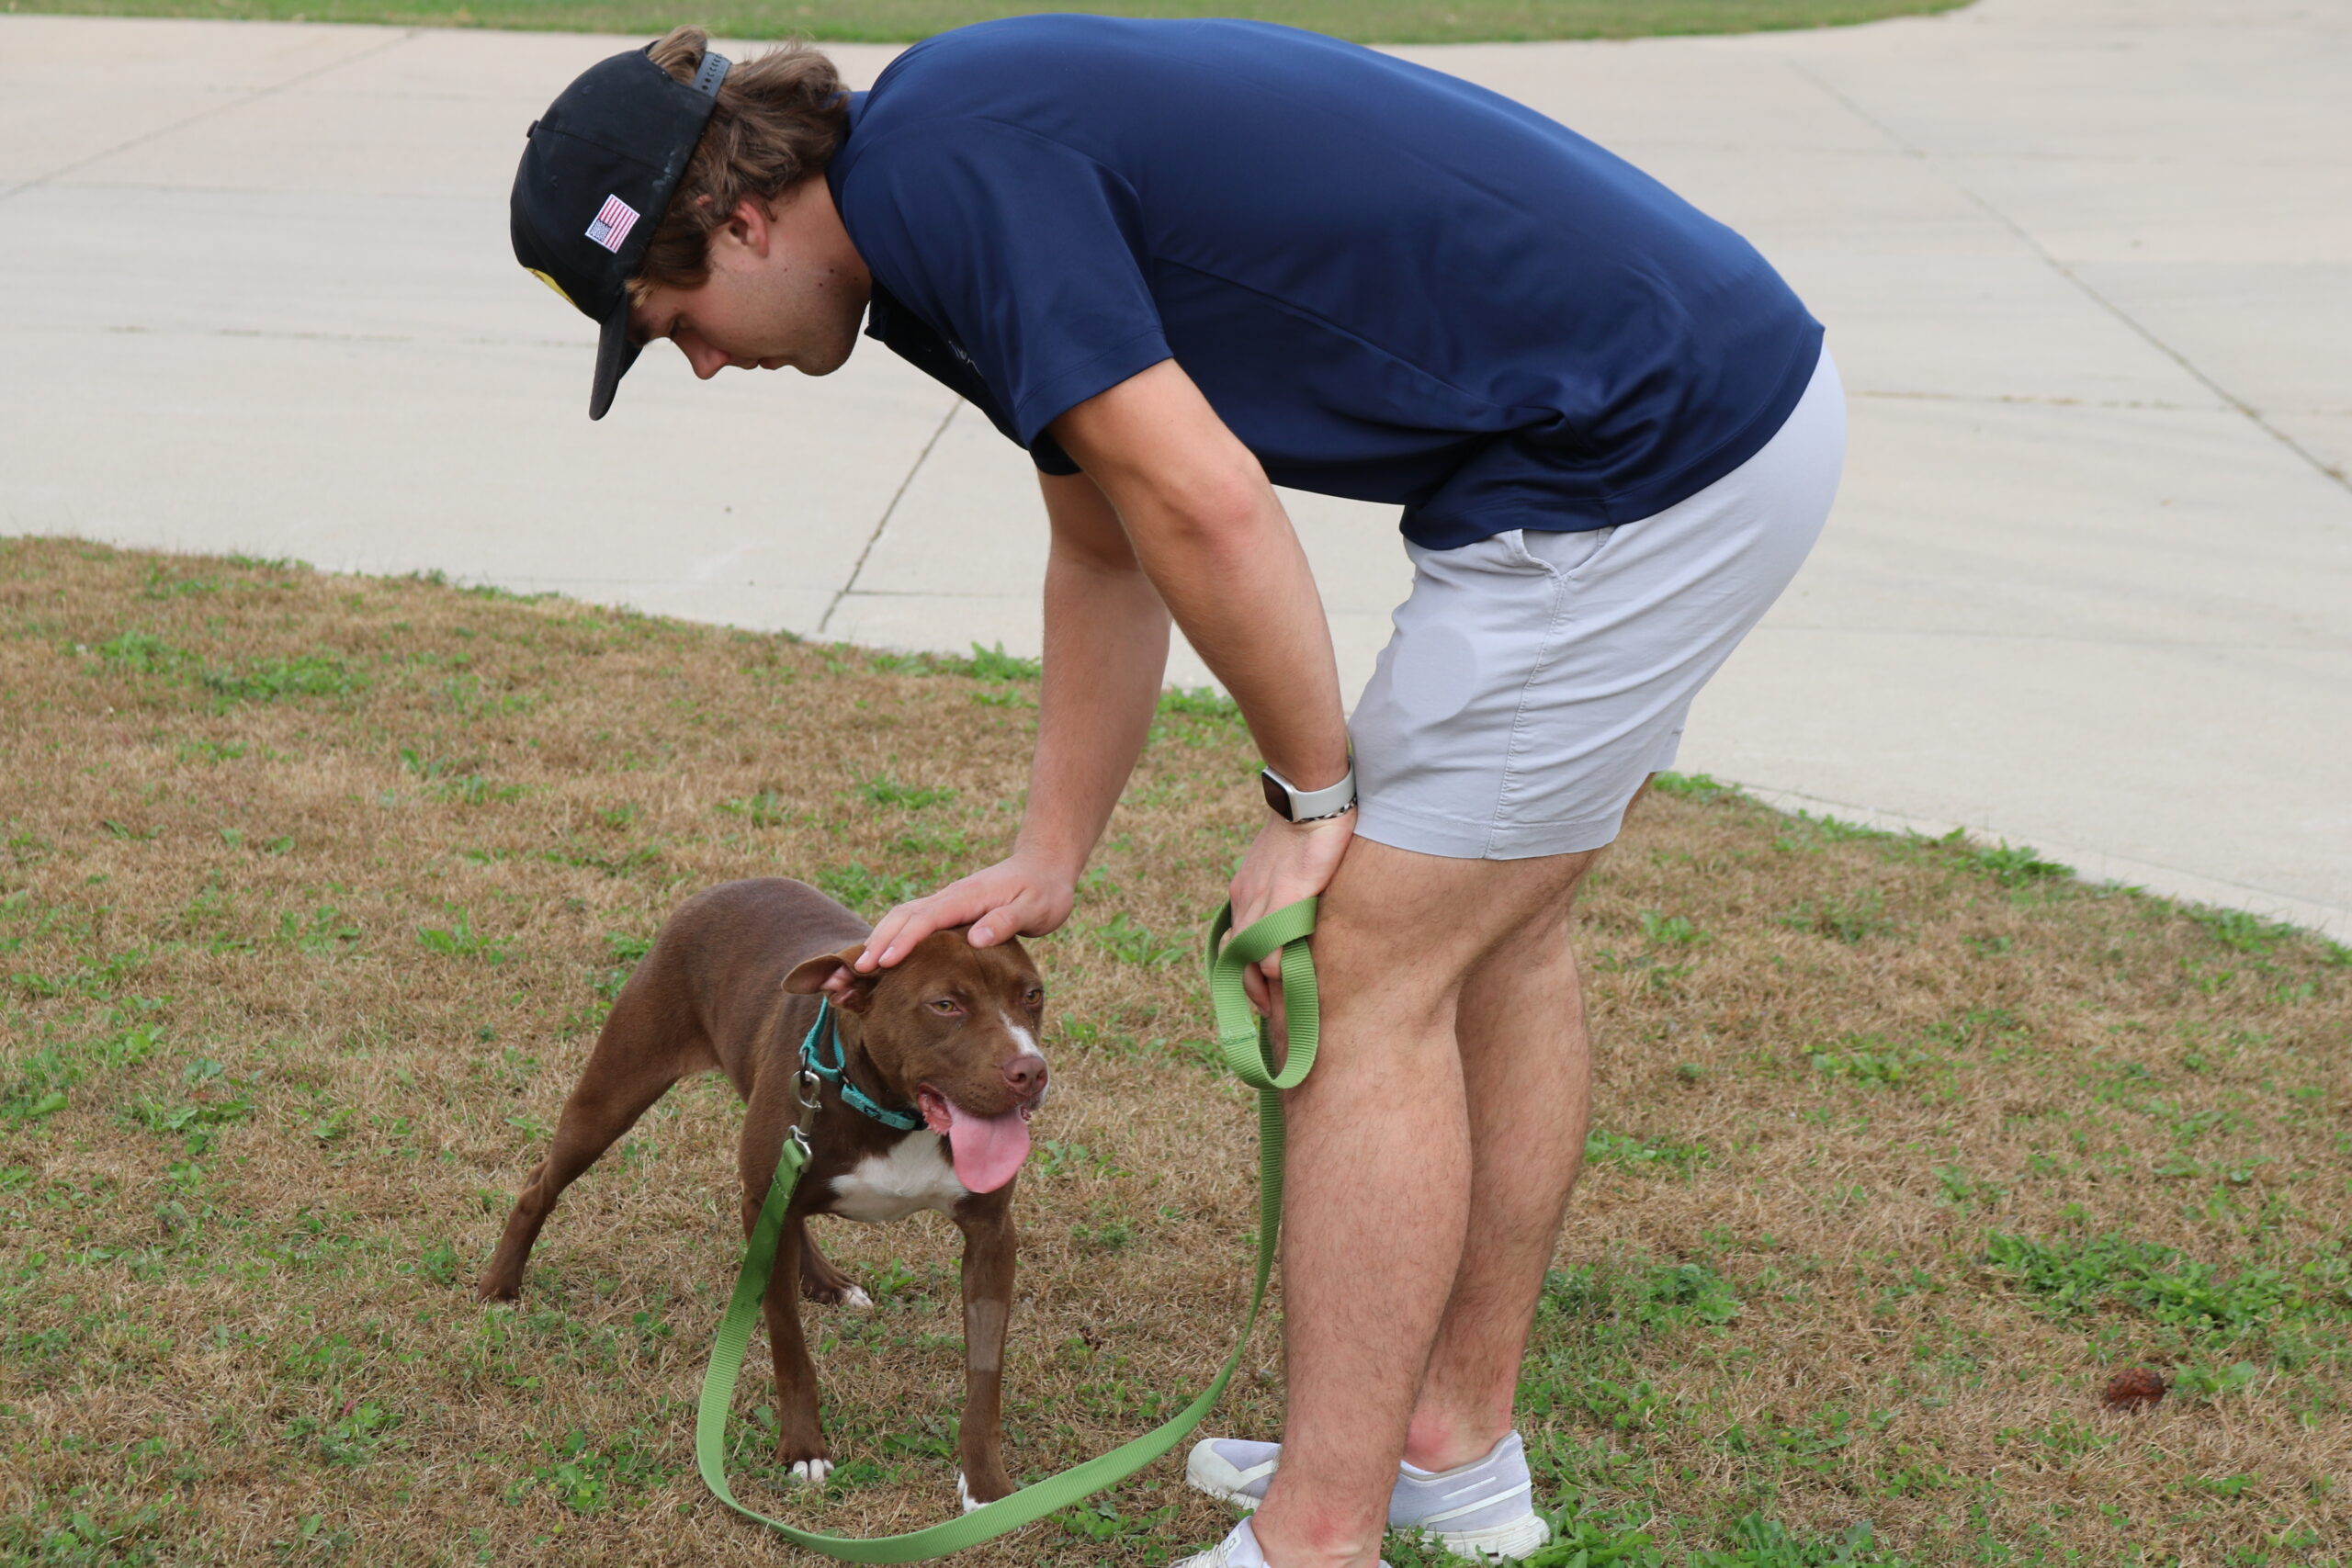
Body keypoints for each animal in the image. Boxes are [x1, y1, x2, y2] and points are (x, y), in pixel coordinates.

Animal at [476, 877, 1050, 1507]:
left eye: (1033, 995)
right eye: (945, 1005)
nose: (1031, 1071)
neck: (892, 1113)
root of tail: (729, 885)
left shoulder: (991, 1234)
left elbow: (985, 1371)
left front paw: (987, 1485)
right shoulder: (770, 1207)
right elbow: (788, 1342)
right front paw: (804, 1449)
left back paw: (828, 1282)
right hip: (613, 1094)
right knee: (540, 1183)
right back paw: (500, 1285)